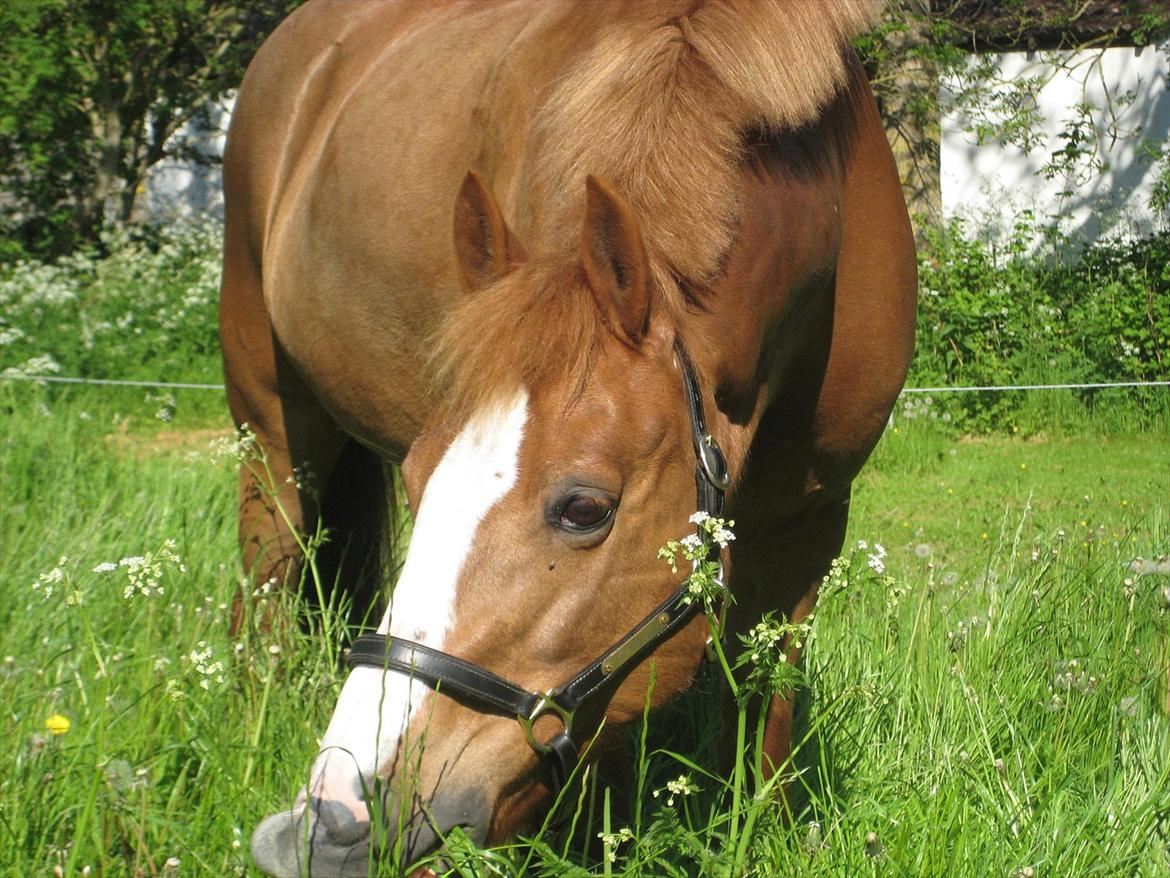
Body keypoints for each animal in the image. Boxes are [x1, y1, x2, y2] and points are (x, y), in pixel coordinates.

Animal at [219, 3, 912, 875]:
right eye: (418, 481)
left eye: (584, 509)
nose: (332, 822)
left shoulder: (810, 522)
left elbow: (766, 708)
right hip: (269, 429)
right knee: (266, 583)